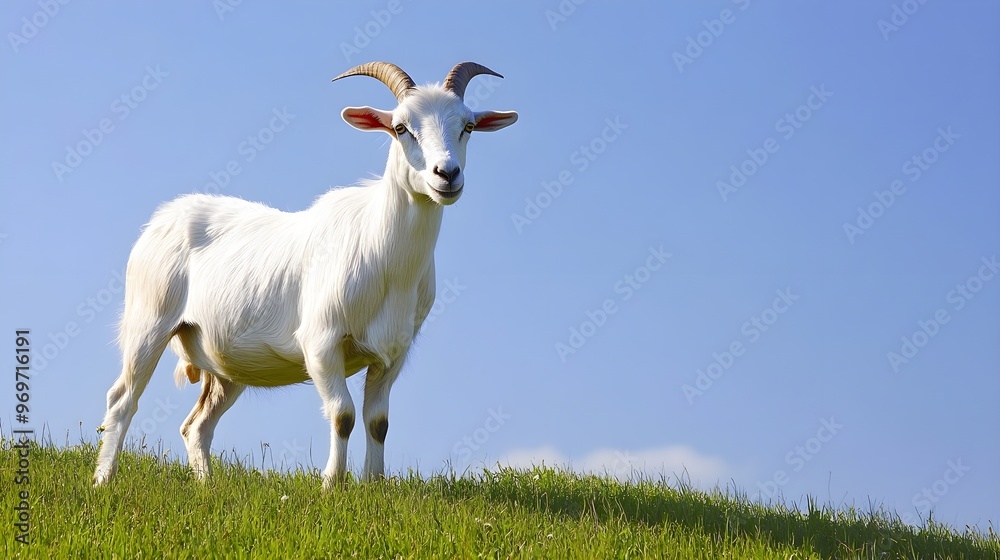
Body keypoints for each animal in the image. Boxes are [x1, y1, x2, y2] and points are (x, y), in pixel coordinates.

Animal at [93, 62, 518, 489]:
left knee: (196, 426)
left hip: (223, 362)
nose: (447, 174)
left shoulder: (393, 353)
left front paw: (374, 486)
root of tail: (163, 217)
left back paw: (207, 487)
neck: (387, 259)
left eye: (467, 125)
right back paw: (103, 480)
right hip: (149, 320)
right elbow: (343, 415)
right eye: (401, 127)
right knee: (122, 399)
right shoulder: (320, 341)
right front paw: (332, 485)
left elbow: (378, 422)